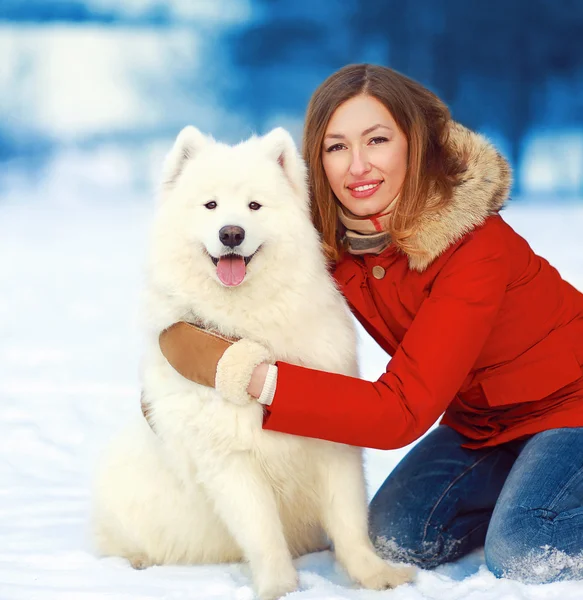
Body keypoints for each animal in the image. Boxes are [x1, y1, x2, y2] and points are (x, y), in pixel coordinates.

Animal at [92, 126, 416, 600]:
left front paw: (375, 576)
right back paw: (137, 562)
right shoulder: (230, 459)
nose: (231, 233)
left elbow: (349, 520)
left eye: (254, 206)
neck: (246, 322)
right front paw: (279, 588)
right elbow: (264, 533)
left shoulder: (333, 445)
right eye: (210, 205)